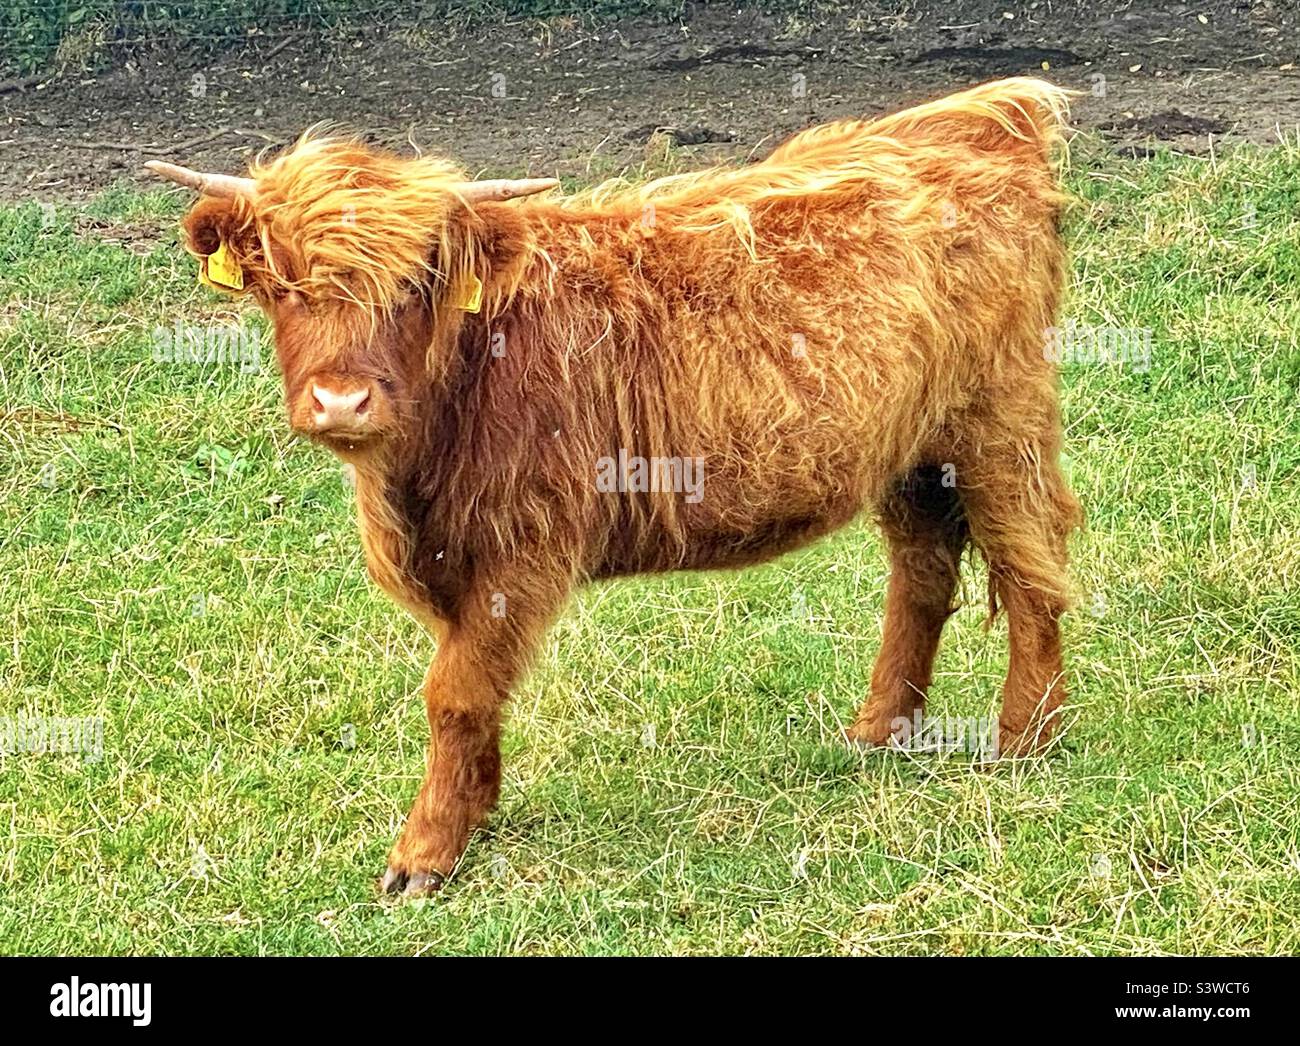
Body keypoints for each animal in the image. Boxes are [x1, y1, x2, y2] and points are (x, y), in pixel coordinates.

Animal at [148, 77, 1082, 895]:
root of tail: (984, 113)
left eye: (415, 285)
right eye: (282, 282)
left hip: (1002, 422)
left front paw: (426, 854)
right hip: (910, 449)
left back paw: (1024, 740)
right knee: (922, 572)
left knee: (1032, 566)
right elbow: (471, 688)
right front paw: (477, 809)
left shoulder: (521, 548)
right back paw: (879, 733)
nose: (341, 400)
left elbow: (456, 692)